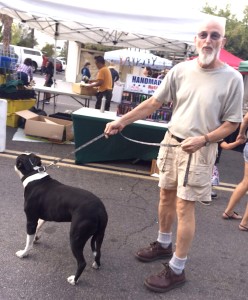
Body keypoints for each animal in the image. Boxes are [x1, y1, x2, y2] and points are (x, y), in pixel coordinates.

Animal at [14, 154, 107, 284]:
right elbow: (38, 227)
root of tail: (99, 210)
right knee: (98, 252)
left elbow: (28, 240)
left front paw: (24, 253)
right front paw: (35, 238)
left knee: (81, 263)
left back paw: (74, 280)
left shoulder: (30, 220)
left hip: (76, 238)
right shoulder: (43, 217)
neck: (33, 172)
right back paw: (96, 265)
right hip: (99, 236)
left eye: (18, 160)